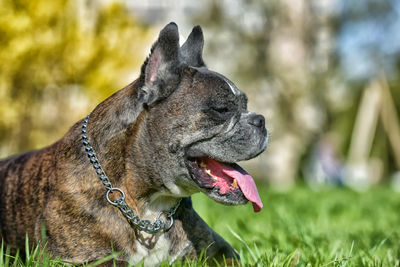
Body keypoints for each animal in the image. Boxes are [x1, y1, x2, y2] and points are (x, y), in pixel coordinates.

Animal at [0, 22, 268, 266]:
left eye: (245, 104)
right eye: (221, 109)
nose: (261, 120)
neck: (147, 204)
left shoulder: (221, 252)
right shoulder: (73, 260)